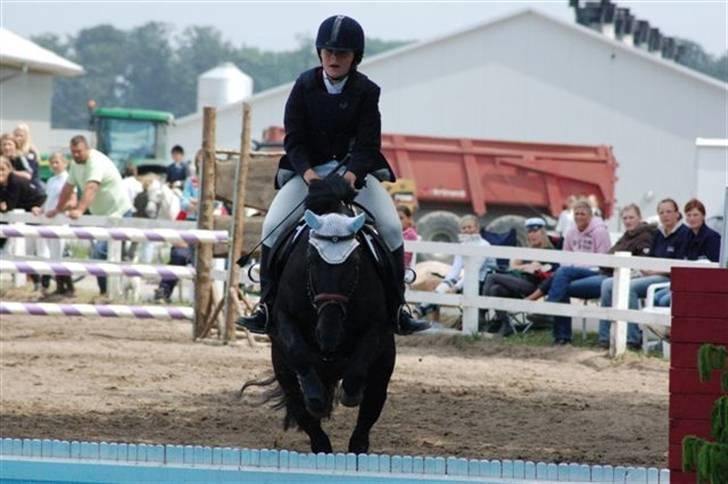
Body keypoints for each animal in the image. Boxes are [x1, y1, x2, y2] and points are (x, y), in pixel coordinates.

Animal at [242, 177, 396, 454]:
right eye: (311, 260)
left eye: (355, 262)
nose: (328, 336)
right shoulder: (283, 318)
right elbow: (299, 353)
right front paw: (315, 397)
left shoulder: (377, 325)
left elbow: (356, 371)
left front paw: (350, 394)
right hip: (283, 369)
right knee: (304, 414)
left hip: (384, 366)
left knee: (368, 414)